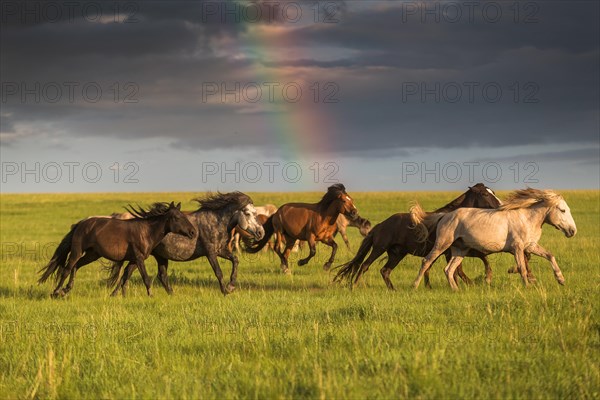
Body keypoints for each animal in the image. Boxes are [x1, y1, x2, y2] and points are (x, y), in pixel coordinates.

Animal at [37, 203, 196, 296]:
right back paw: (57, 292)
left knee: (76, 266)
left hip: (92, 254)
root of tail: (80, 223)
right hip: (77, 251)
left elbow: (125, 276)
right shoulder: (139, 258)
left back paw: (67, 290)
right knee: (67, 269)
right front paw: (150, 295)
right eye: (177, 217)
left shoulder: (134, 260)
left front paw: (118, 295)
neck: (146, 232)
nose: (193, 232)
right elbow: (145, 278)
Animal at [109, 192, 264, 296]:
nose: (261, 232)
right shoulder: (210, 253)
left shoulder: (221, 250)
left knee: (156, 275)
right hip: (143, 256)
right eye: (248, 213)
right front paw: (225, 291)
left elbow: (235, 260)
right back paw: (116, 293)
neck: (215, 222)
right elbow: (218, 272)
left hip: (159, 256)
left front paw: (231, 286)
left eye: (256, 213)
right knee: (128, 272)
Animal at [332, 183, 502, 290]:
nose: (500, 206)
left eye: (493, 192)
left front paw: (485, 279)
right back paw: (354, 286)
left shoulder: (460, 249)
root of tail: (380, 225)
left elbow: (481, 258)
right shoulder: (449, 251)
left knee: (385, 271)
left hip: (397, 254)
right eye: (485, 193)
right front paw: (471, 284)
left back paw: (393, 290)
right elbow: (458, 269)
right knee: (365, 265)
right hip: (379, 248)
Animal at [412, 188, 576, 290]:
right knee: (426, 262)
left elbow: (549, 255)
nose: (572, 231)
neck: (526, 219)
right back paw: (414, 286)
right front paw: (528, 286)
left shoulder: (530, 246)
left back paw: (456, 290)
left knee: (449, 269)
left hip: (460, 250)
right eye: (562, 210)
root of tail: (445, 216)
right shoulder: (518, 248)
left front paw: (561, 280)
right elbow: (522, 268)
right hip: (442, 244)